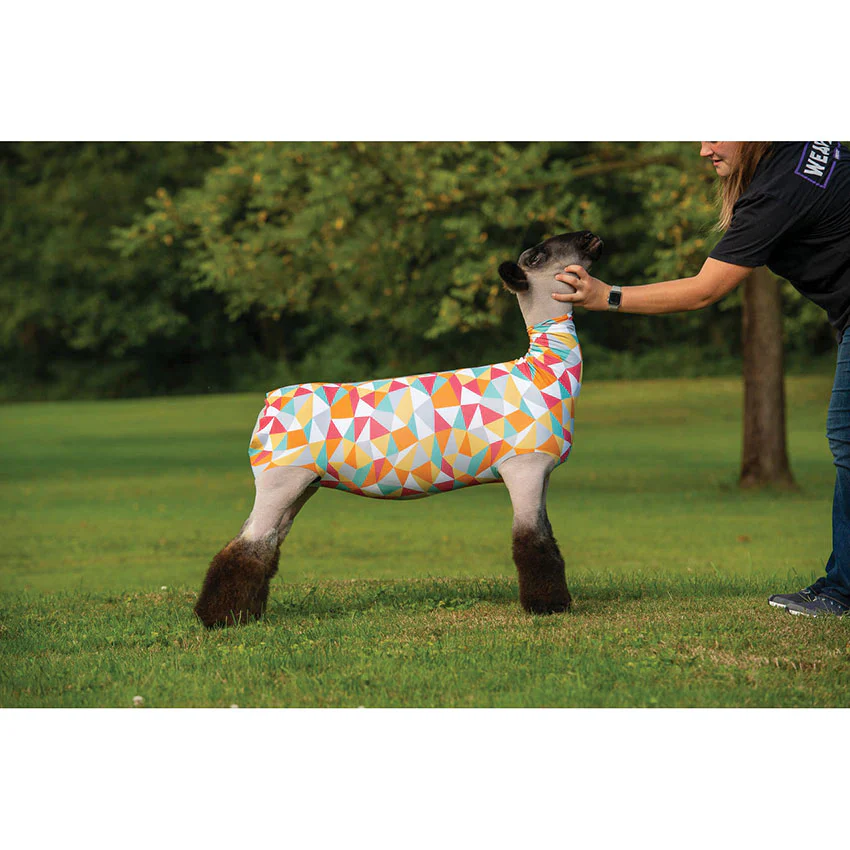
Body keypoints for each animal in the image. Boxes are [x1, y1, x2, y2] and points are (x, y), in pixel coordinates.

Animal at [194, 230, 604, 627]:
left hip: (301, 484)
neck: (543, 368)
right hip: (280, 479)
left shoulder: (541, 473)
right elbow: (532, 542)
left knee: (265, 544)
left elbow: (547, 535)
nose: (589, 236)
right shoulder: (524, 467)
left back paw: (243, 613)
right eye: (537, 255)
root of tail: (268, 404)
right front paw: (548, 607)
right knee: (246, 545)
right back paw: (219, 618)